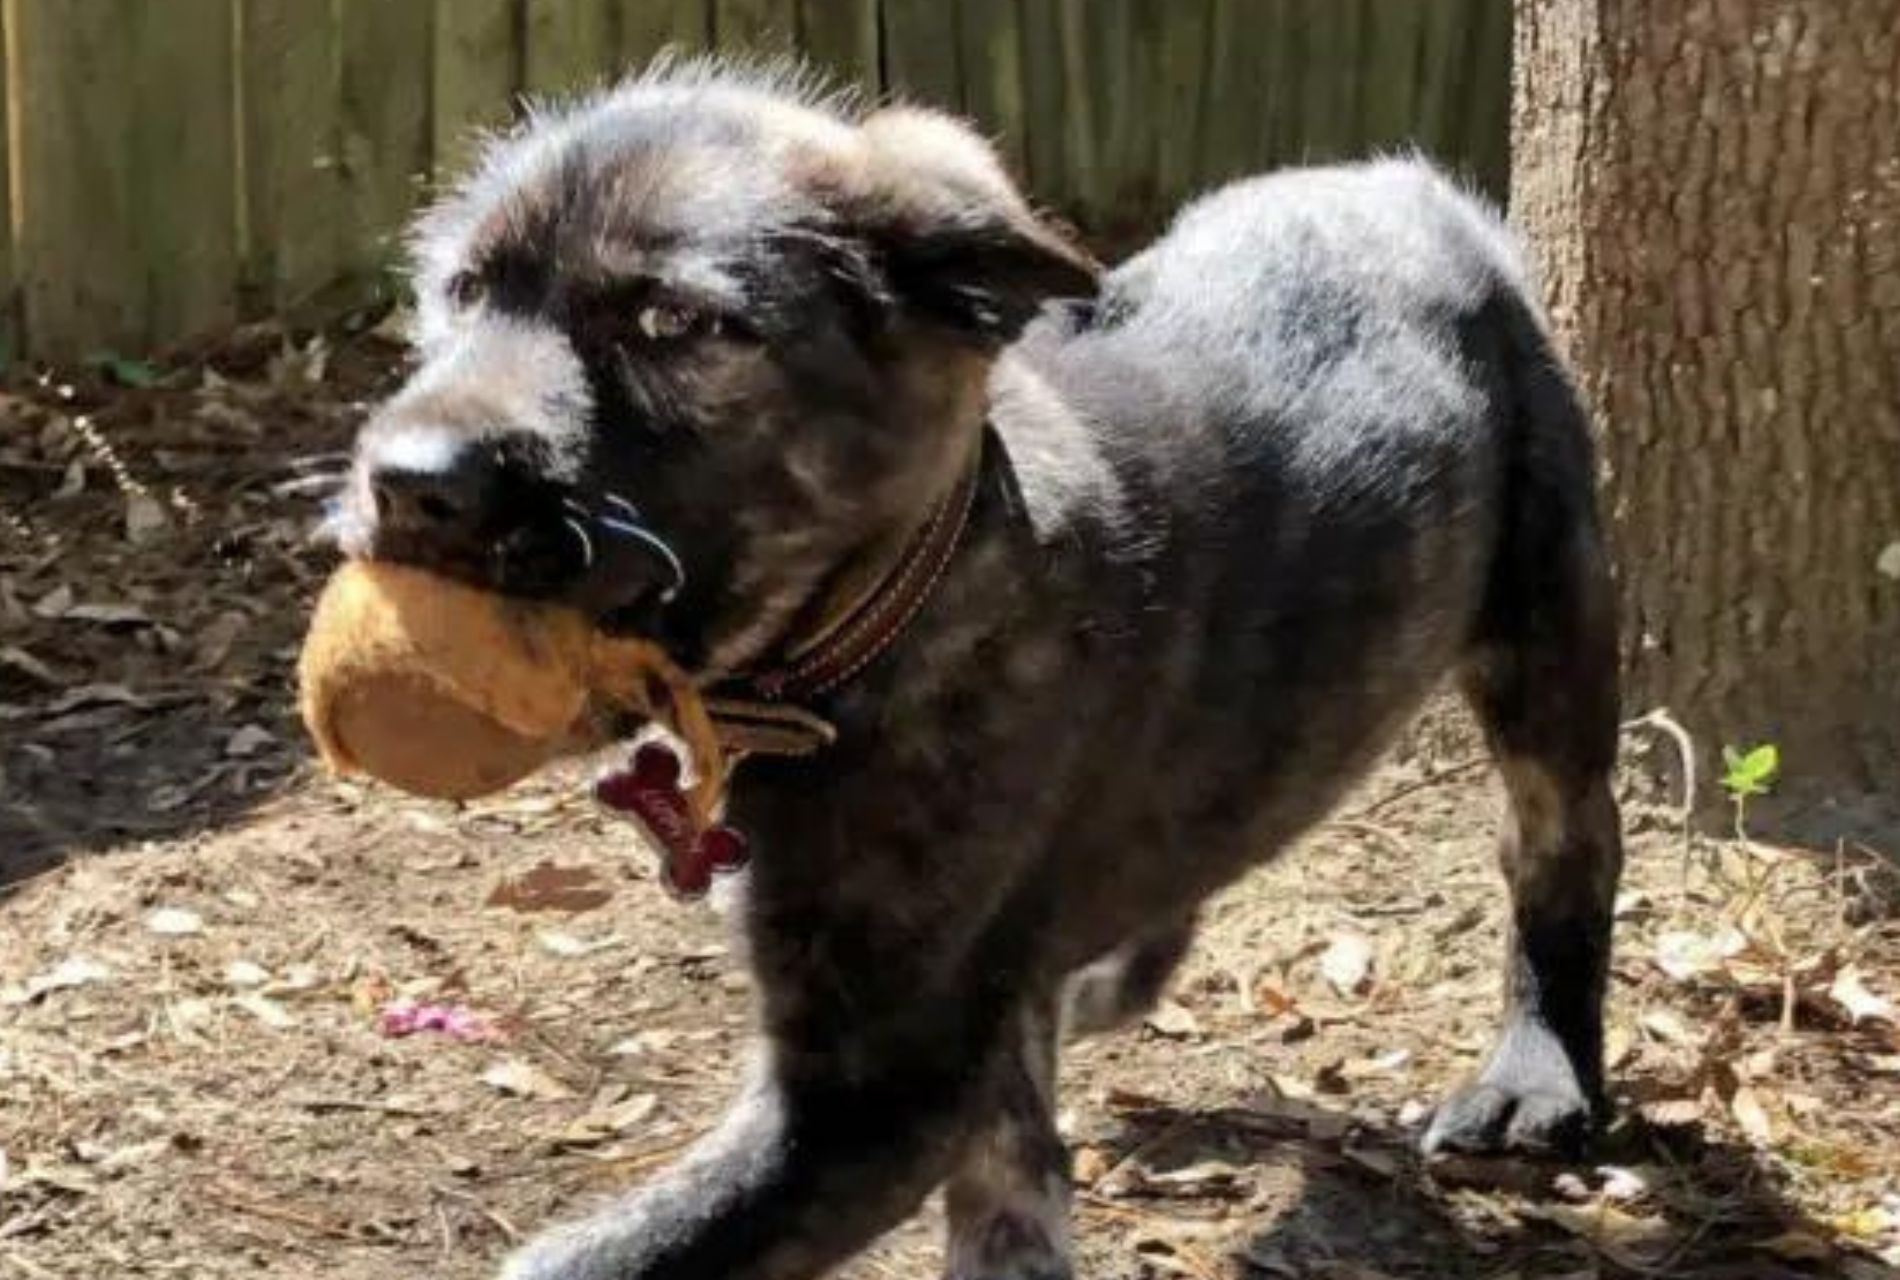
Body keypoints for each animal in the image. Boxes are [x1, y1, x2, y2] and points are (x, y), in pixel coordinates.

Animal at [326, 62, 1618, 1280]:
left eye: (673, 323)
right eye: (459, 292)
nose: (412, 482)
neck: (887, 612)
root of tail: (1405, 183)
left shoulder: (877, 1089)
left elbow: (599, 1255)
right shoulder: (950, 1059)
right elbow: (1012, 1191)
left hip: (1548, 630)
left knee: (1562, 845)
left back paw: (1538, 1073)